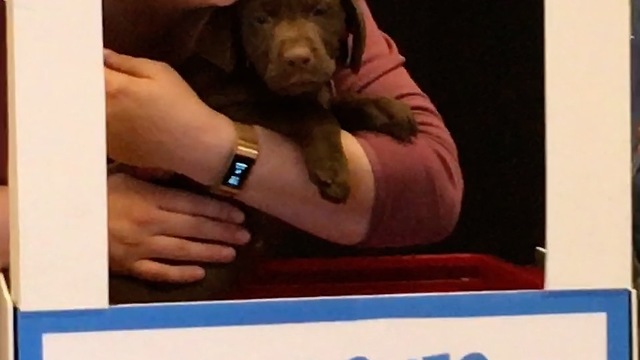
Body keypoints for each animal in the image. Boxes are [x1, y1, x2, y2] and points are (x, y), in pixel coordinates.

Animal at [109, 0, 420, 304]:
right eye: (260, 20)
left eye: (320, 11)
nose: (297, 59)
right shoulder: (227, 106)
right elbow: (310, 112)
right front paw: (332, 171)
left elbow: (335, 102)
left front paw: (387, 109)